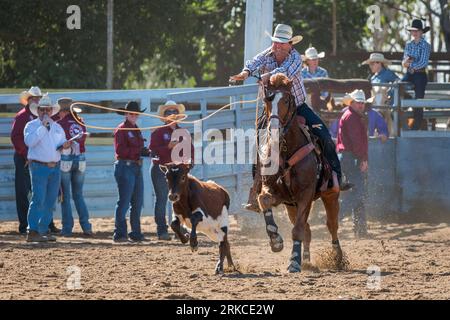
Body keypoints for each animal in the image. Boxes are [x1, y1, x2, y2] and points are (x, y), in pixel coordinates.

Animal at [255, 73, 342, 272]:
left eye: (286, 100)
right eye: (267, 99)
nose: (274, 129)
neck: (286, 149)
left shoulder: (306, 194)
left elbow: (298, 230)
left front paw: (294, 262)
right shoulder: (275, 191)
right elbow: (264, 200)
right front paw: (275, 240)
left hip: (330, 195)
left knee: (331, 225)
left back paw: (337, 257)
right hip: (291, 206)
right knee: (308, 229)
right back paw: (307, 259)